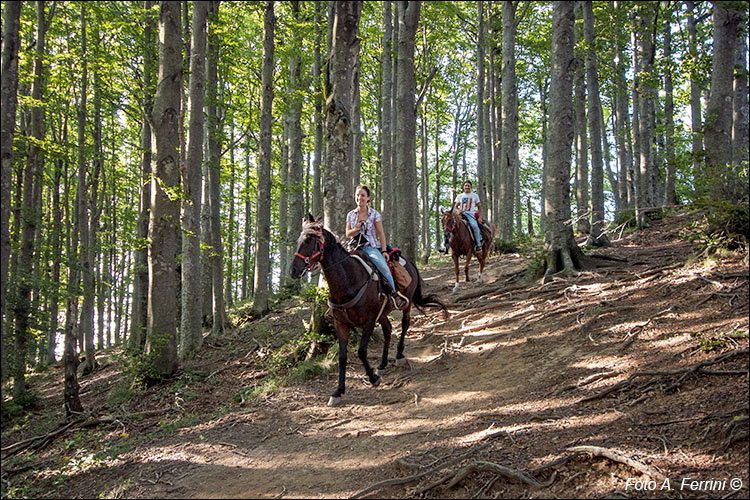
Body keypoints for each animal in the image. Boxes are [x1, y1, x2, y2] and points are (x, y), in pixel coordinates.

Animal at [290, 215, 446, 406]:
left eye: (309, 240)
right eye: (298, 241)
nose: (293, 270)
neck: (348, 280)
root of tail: (409, 262)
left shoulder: (369, 320)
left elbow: (361, 351)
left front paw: (372, 378)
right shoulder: (341, 324)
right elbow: (342, 357)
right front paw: (338, 391)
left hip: (406, 304)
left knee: (405, 324)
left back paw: (399, 355)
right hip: (383, 313)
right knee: (388, 330)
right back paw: (382, 364)